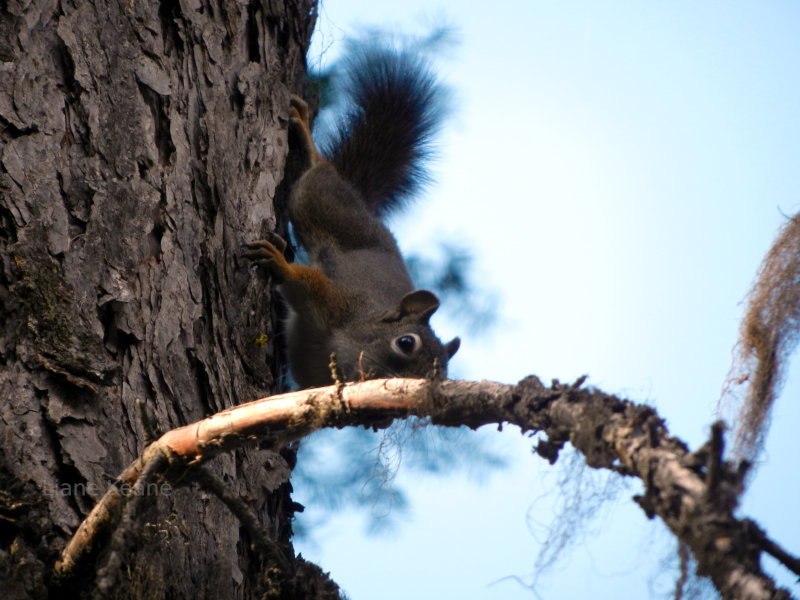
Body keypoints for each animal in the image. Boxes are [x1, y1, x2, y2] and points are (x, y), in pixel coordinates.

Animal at [242, 50, 456, 390]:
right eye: (405, 343)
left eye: (444, 373)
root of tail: (360, 201)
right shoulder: (340, 304)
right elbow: (305, 282)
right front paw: (281, 264)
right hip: (323, 205)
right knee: (318, 172)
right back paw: (305, 136)